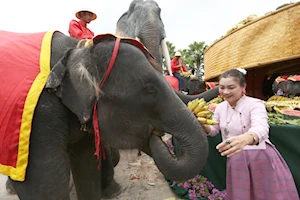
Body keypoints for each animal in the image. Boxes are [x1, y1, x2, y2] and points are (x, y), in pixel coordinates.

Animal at [0, 31, 218, 200]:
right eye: (149, 90)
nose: (157, 137)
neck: (77, 51)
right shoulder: (38, 117)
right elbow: (46, 184)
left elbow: (86, 164)